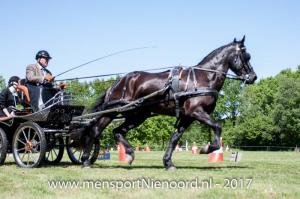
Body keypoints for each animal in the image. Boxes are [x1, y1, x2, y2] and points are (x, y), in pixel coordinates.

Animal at [77, 36, 255, 169]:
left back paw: (129, 155)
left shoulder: (187, 117)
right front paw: (207, 148)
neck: (203, 78)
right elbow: (218, 127)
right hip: (114, 111)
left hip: (137, 115)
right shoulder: (196, 111)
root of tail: (117, 83)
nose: (253, 77)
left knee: (117, 132)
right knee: (95, 131)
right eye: (246, 56)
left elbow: (175, 138)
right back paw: (85, 160)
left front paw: (168, 162)